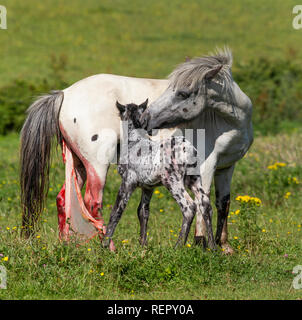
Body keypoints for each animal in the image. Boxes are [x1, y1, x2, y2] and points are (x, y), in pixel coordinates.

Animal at [104, 100, 215, 248]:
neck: (134, 141)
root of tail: (189, 151)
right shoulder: (148, 187)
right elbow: (143, 211)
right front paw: (143, 245)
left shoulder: (127, 181)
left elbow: (116, 211)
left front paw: (105, 244)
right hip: (194, 179)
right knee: (205, 204)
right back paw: (213, 247)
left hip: (172, 180)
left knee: (189, 206)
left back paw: (178, 246)